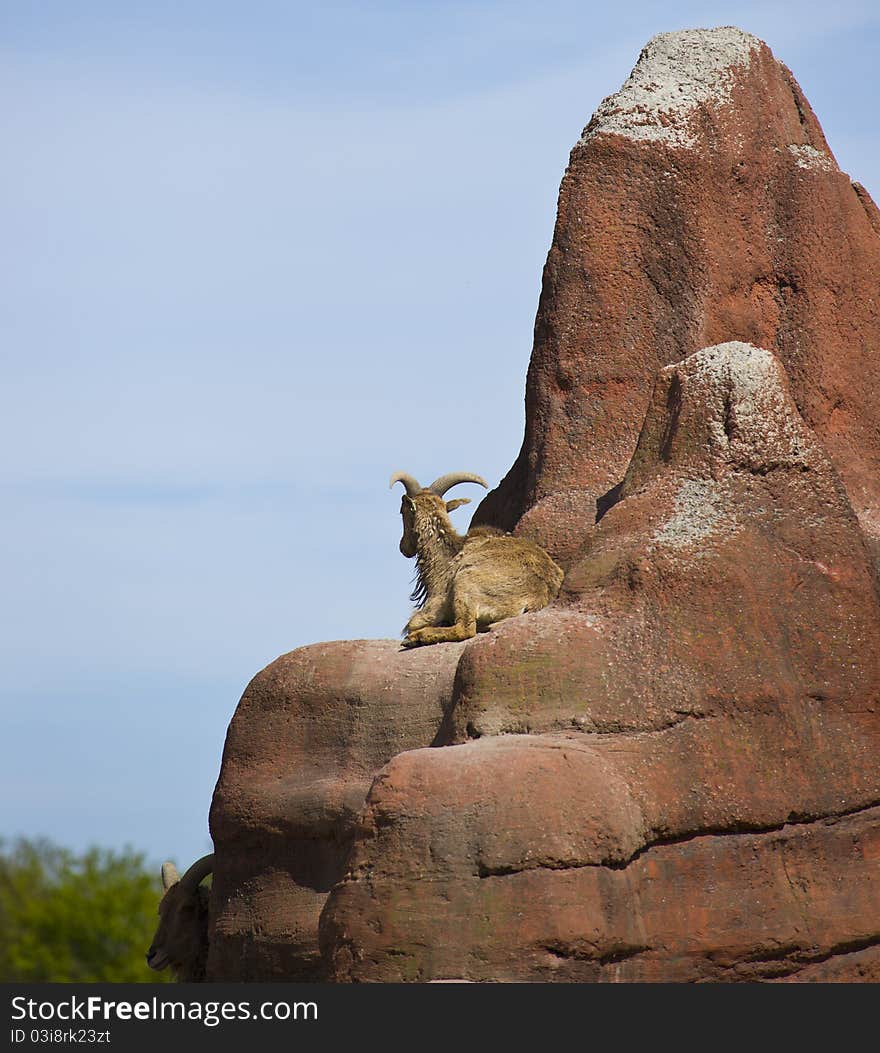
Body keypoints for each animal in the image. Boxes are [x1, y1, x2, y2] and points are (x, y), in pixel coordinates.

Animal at [391, 471, 564, 648]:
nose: (403, 547)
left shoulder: (437, 602)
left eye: (402, 511)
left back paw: (415, 638)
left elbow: (413, 622)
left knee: (464, 629)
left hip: (465, 582)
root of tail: (536, 597)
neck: (449, 554)